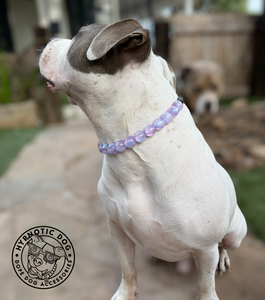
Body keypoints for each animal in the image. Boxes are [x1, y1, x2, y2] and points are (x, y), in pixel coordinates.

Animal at [38, 19, 245, 300]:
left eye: (80, 34)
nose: (49, 40)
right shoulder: (116, 226)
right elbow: (127, 269)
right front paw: (125, 293)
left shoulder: (204, 249)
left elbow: (205, 286)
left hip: (235, 233)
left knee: (224, 245)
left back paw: (223, 259)